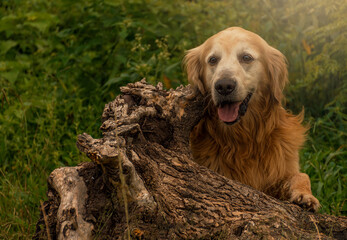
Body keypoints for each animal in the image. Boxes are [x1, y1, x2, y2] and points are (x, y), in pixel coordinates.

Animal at [185, 26, 320, 212]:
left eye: (246, 57)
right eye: (212, 60)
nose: (224, 86)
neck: (244, 139)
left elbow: (302, 175)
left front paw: (305, 196)